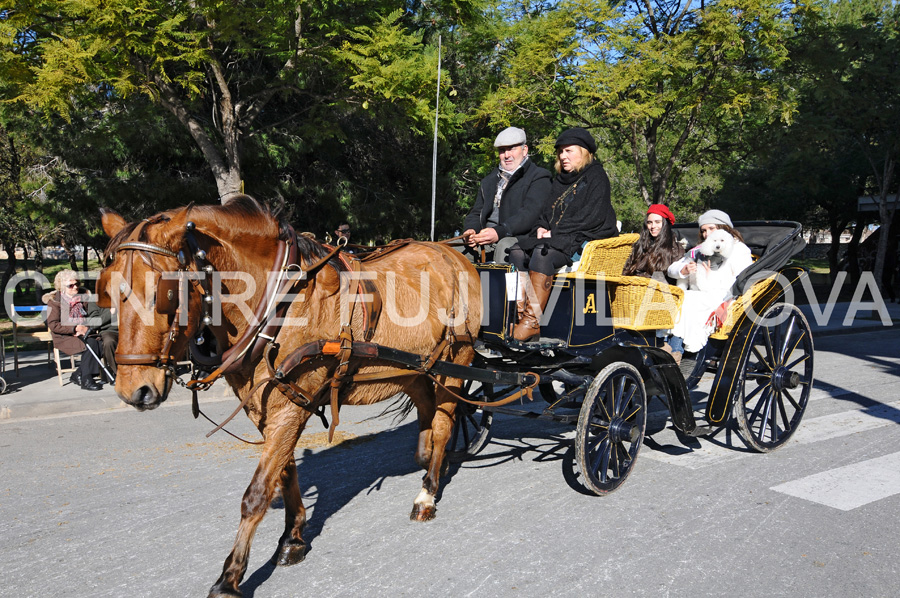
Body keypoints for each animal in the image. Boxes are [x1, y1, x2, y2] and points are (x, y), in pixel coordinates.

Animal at [96, 196, 482, 596]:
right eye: (107, 291)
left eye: (164, 294)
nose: (133, 390)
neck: (278, 301)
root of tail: (453, 254)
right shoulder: (270, 407)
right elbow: (284, 471)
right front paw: (292, 537)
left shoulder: (288, 408)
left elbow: (257, 493)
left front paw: (230, 576)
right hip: (417, 369)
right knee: (428, 414)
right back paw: (430, 464)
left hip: (457, 361)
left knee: (444, 425)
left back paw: (427, 493)